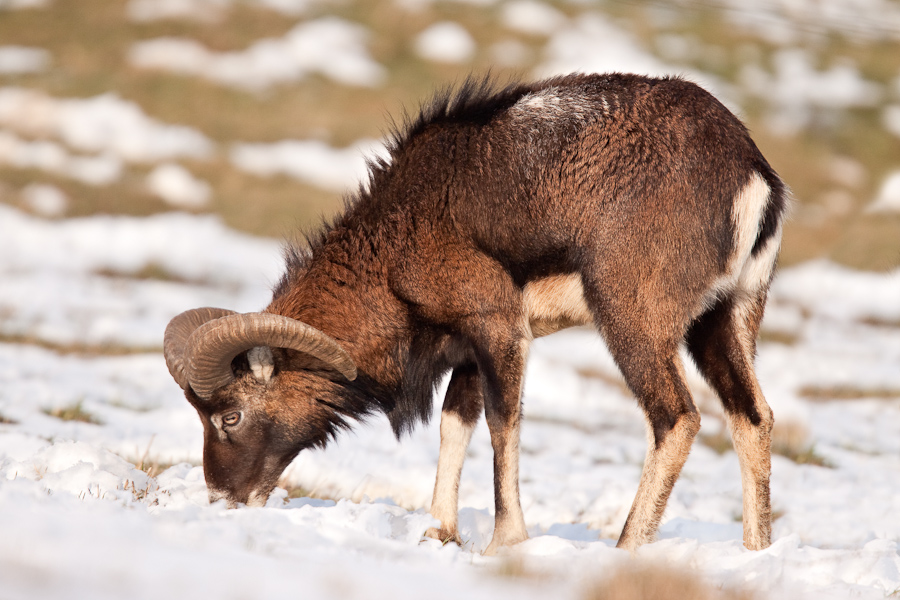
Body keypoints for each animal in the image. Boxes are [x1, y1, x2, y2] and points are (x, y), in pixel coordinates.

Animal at [163, 74, 788, 552]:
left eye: (229, 417)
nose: (223, 499)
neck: (403, 233)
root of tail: (753, 180)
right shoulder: (466, 349)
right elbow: (455, 423)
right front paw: (439, 533)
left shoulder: (499, 330)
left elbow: (500, 423)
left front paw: (503, 543)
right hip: (723, 322)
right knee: (752, 417)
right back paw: (754, 553)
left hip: (634, 324)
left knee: (676, 418)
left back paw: (626, 549)